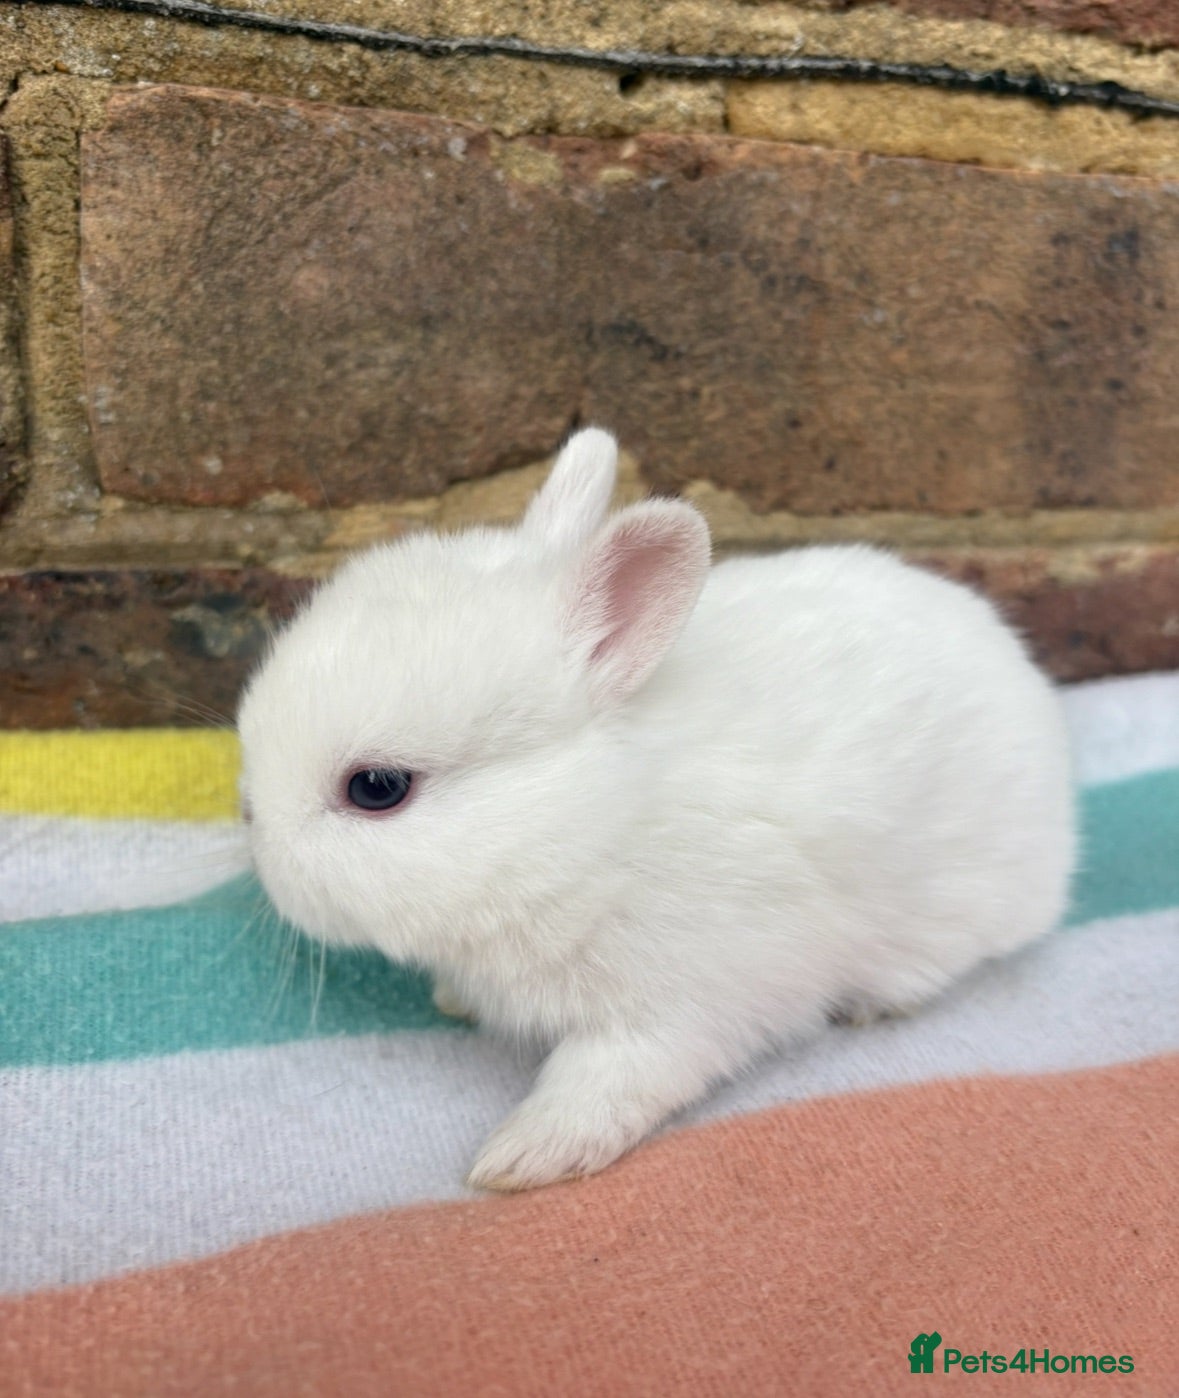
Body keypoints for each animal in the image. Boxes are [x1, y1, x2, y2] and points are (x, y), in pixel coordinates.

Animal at [237, 428, 1075, 1192]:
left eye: (377, 788)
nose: (253, 828)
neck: (586, 826)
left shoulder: (684, 1004)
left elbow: (603, 1084)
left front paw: (520, 1158)